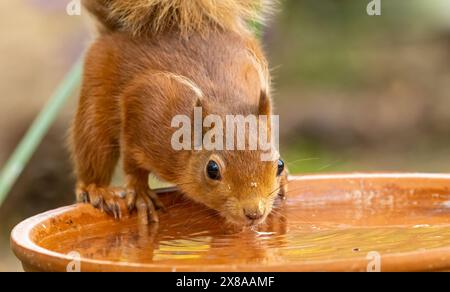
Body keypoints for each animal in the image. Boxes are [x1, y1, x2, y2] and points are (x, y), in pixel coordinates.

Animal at [70, 0, 288, 226]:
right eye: (212, 169)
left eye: (279, 164)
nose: (254, 213)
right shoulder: (143, 107)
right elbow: (131, 160)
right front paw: (140, 193)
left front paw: (284, 180)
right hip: (94, 105)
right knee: (93, 150)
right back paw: (97, 191)